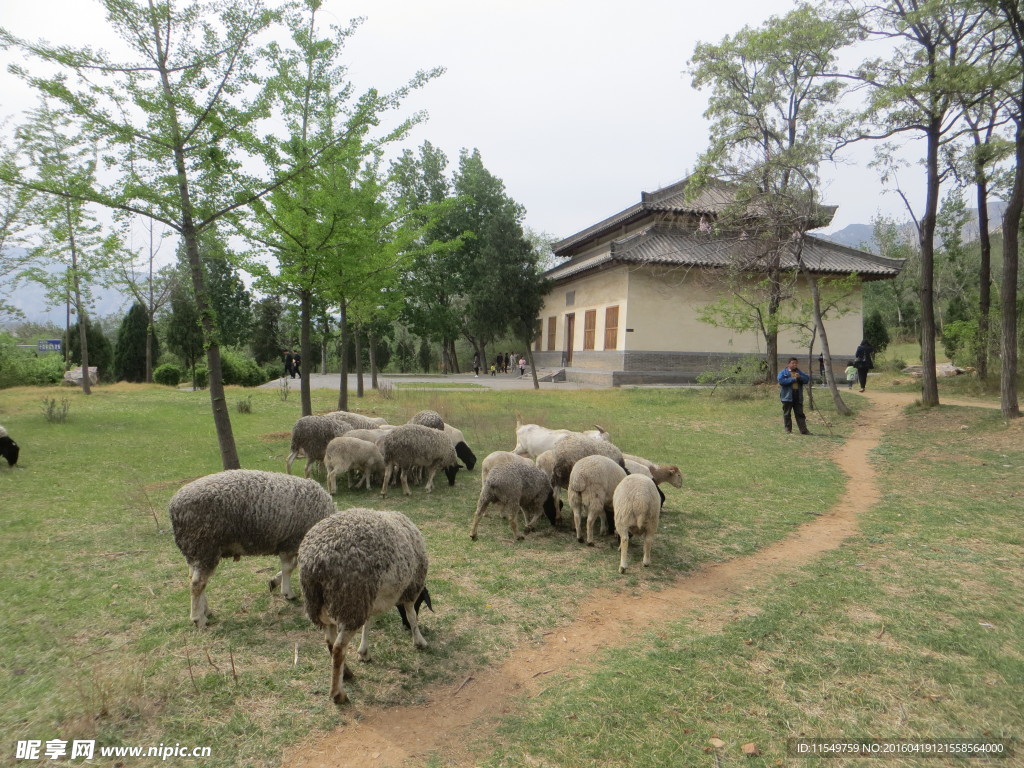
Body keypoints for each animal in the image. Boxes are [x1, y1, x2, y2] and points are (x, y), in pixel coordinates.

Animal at [166, 473, 335, 626]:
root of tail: (174, 507)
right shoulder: (291, 541)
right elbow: (288, 568)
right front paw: (287, 592)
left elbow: (290, 567)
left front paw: (274, 582)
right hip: (205, 547)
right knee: (197, 584)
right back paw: (198, 618)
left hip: (195, 550)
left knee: (194, 578)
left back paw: (205, 610)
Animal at [301, 507, 434, 708]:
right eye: (420, 603)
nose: (403, 627)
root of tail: (315, 562)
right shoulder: (411, 587)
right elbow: (411, 615)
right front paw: (419, 641)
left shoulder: (371, 599)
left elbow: (369, 623)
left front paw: (363, 652)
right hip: (352, 602)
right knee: (338, 648)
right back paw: (338, 694)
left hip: (326, 606)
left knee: (330, 642)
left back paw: (346, 674)